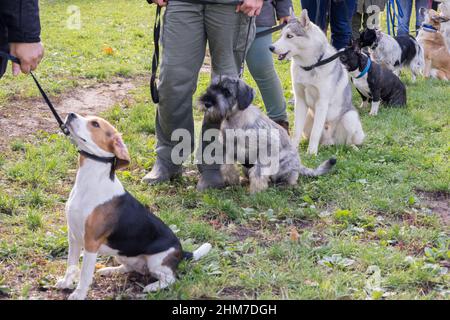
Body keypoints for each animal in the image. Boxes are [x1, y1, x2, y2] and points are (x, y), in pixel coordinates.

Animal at [55, 113, 212, 300]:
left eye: (95, 124)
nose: (71, 114)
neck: (90, 180)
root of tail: (181, 252)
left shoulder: (91, 243)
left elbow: (85, 274)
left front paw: (79, 294)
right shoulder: (73, 237)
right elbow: (71, 264)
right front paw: (66, 283)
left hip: (156, 261)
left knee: (171, 278)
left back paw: (151, 287)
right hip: (123, 254)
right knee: (129, 267)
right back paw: (109, 270)